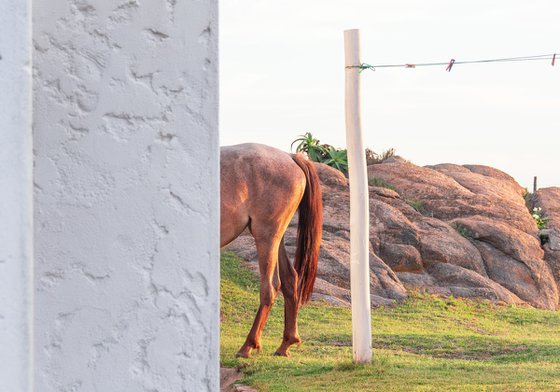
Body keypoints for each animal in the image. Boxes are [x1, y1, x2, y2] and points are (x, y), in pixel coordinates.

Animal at [220, 144, 322, 358]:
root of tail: (291, 157)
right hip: (276, 239)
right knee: (290, 279)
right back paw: (286, 344)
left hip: (266, 237)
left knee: (270, 287)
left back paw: (248, 346)